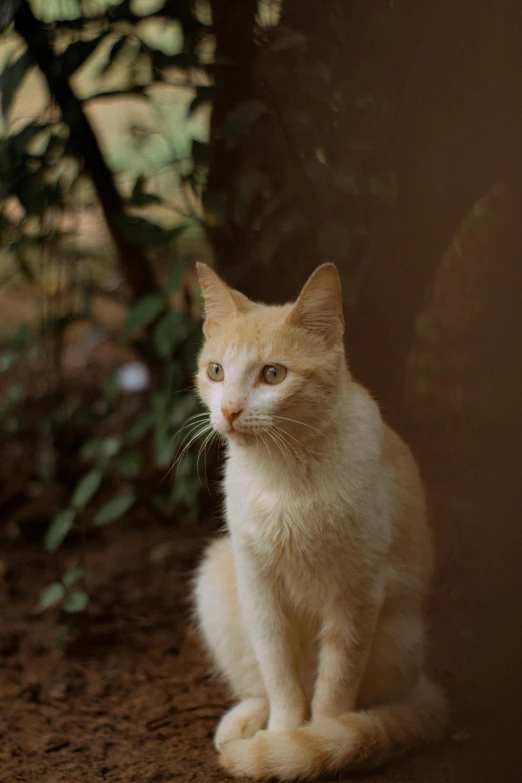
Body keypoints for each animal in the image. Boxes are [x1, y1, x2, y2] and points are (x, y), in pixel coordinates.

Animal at [190, 262, 442, 776]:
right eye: (215, 371)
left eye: (273, 374)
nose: (228, 410)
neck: (286, 475)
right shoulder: (258, 585)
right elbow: (278, 674)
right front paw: (284, 735)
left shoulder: (358, 594)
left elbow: (337, 685)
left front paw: (322, 739)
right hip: (216, 581)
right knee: (259, 683)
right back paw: (246, 722)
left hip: (398, 636)